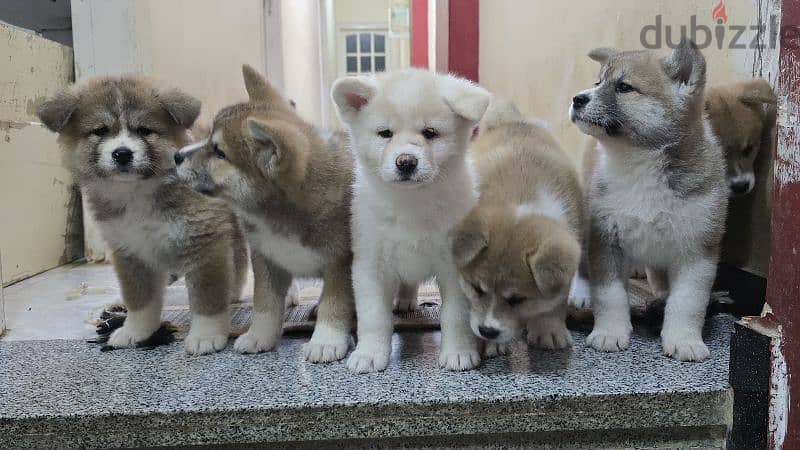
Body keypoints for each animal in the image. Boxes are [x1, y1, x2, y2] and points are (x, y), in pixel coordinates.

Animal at [39, 74, 245, 356]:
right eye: (100, 130)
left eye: (144, 130)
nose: (122, 153)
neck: (137, 192)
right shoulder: (130, 250)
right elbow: (140, 300)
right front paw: (136, 331)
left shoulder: (204, 239)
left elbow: (207, 297)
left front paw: (206, 335)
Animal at [178, 66, 356, 362]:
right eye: (208, 137)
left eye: (219, 152)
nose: (176, 155)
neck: (280, 216)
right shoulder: (267, 260)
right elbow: (265, 305)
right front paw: (258, 336)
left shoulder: (341, 264)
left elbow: (334, 304)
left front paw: (326, 340)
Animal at [332, 68, 494, 374]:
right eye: (385, 133)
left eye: (430, 133)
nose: (406, 161)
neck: (411, 204)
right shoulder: (370, 264)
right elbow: (374, 317)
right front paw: (370, 353)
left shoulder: (453, 267)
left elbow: (455, 316)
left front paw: (459, 352)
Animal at [450, 96, 580, 356]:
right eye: (477, 289)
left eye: (517, 299)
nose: (487, 331)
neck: (522, 197)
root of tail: (514, 121)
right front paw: (494, 345)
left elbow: (555, 303)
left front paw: (548, 330)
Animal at [564, 38, 728, 362]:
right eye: (598, 82)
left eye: (624, 87)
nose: (577, 99)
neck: (639, 166)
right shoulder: (606, 240)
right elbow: (611, 295)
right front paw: (610, 332)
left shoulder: (698, 249)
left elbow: (687, 302)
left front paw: (684, 339)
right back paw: (581, 293)